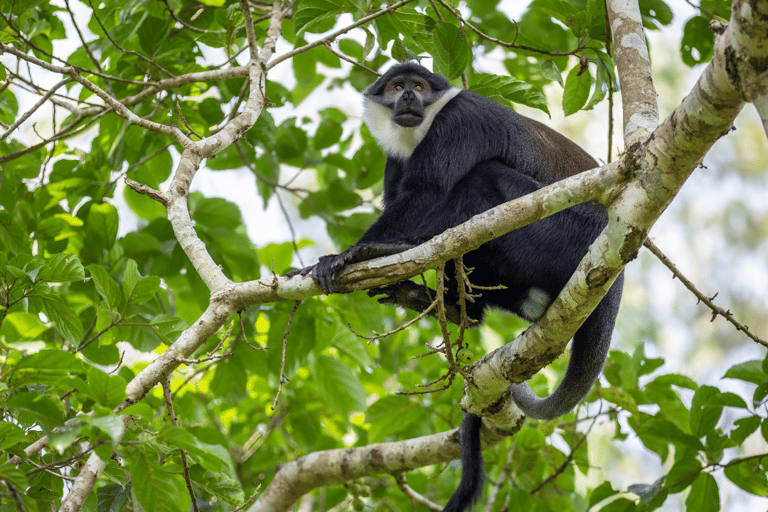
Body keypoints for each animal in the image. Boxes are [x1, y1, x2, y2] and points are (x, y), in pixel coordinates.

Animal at [288, 62, 623, 512]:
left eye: (419, 85)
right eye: (396, 86)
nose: (408, 97)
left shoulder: (457, 122)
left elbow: (425, 193)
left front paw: (352, 254)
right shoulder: (394, 159)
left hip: (566, 234)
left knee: (484, 178)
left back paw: (397, 252)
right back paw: (442, 303)